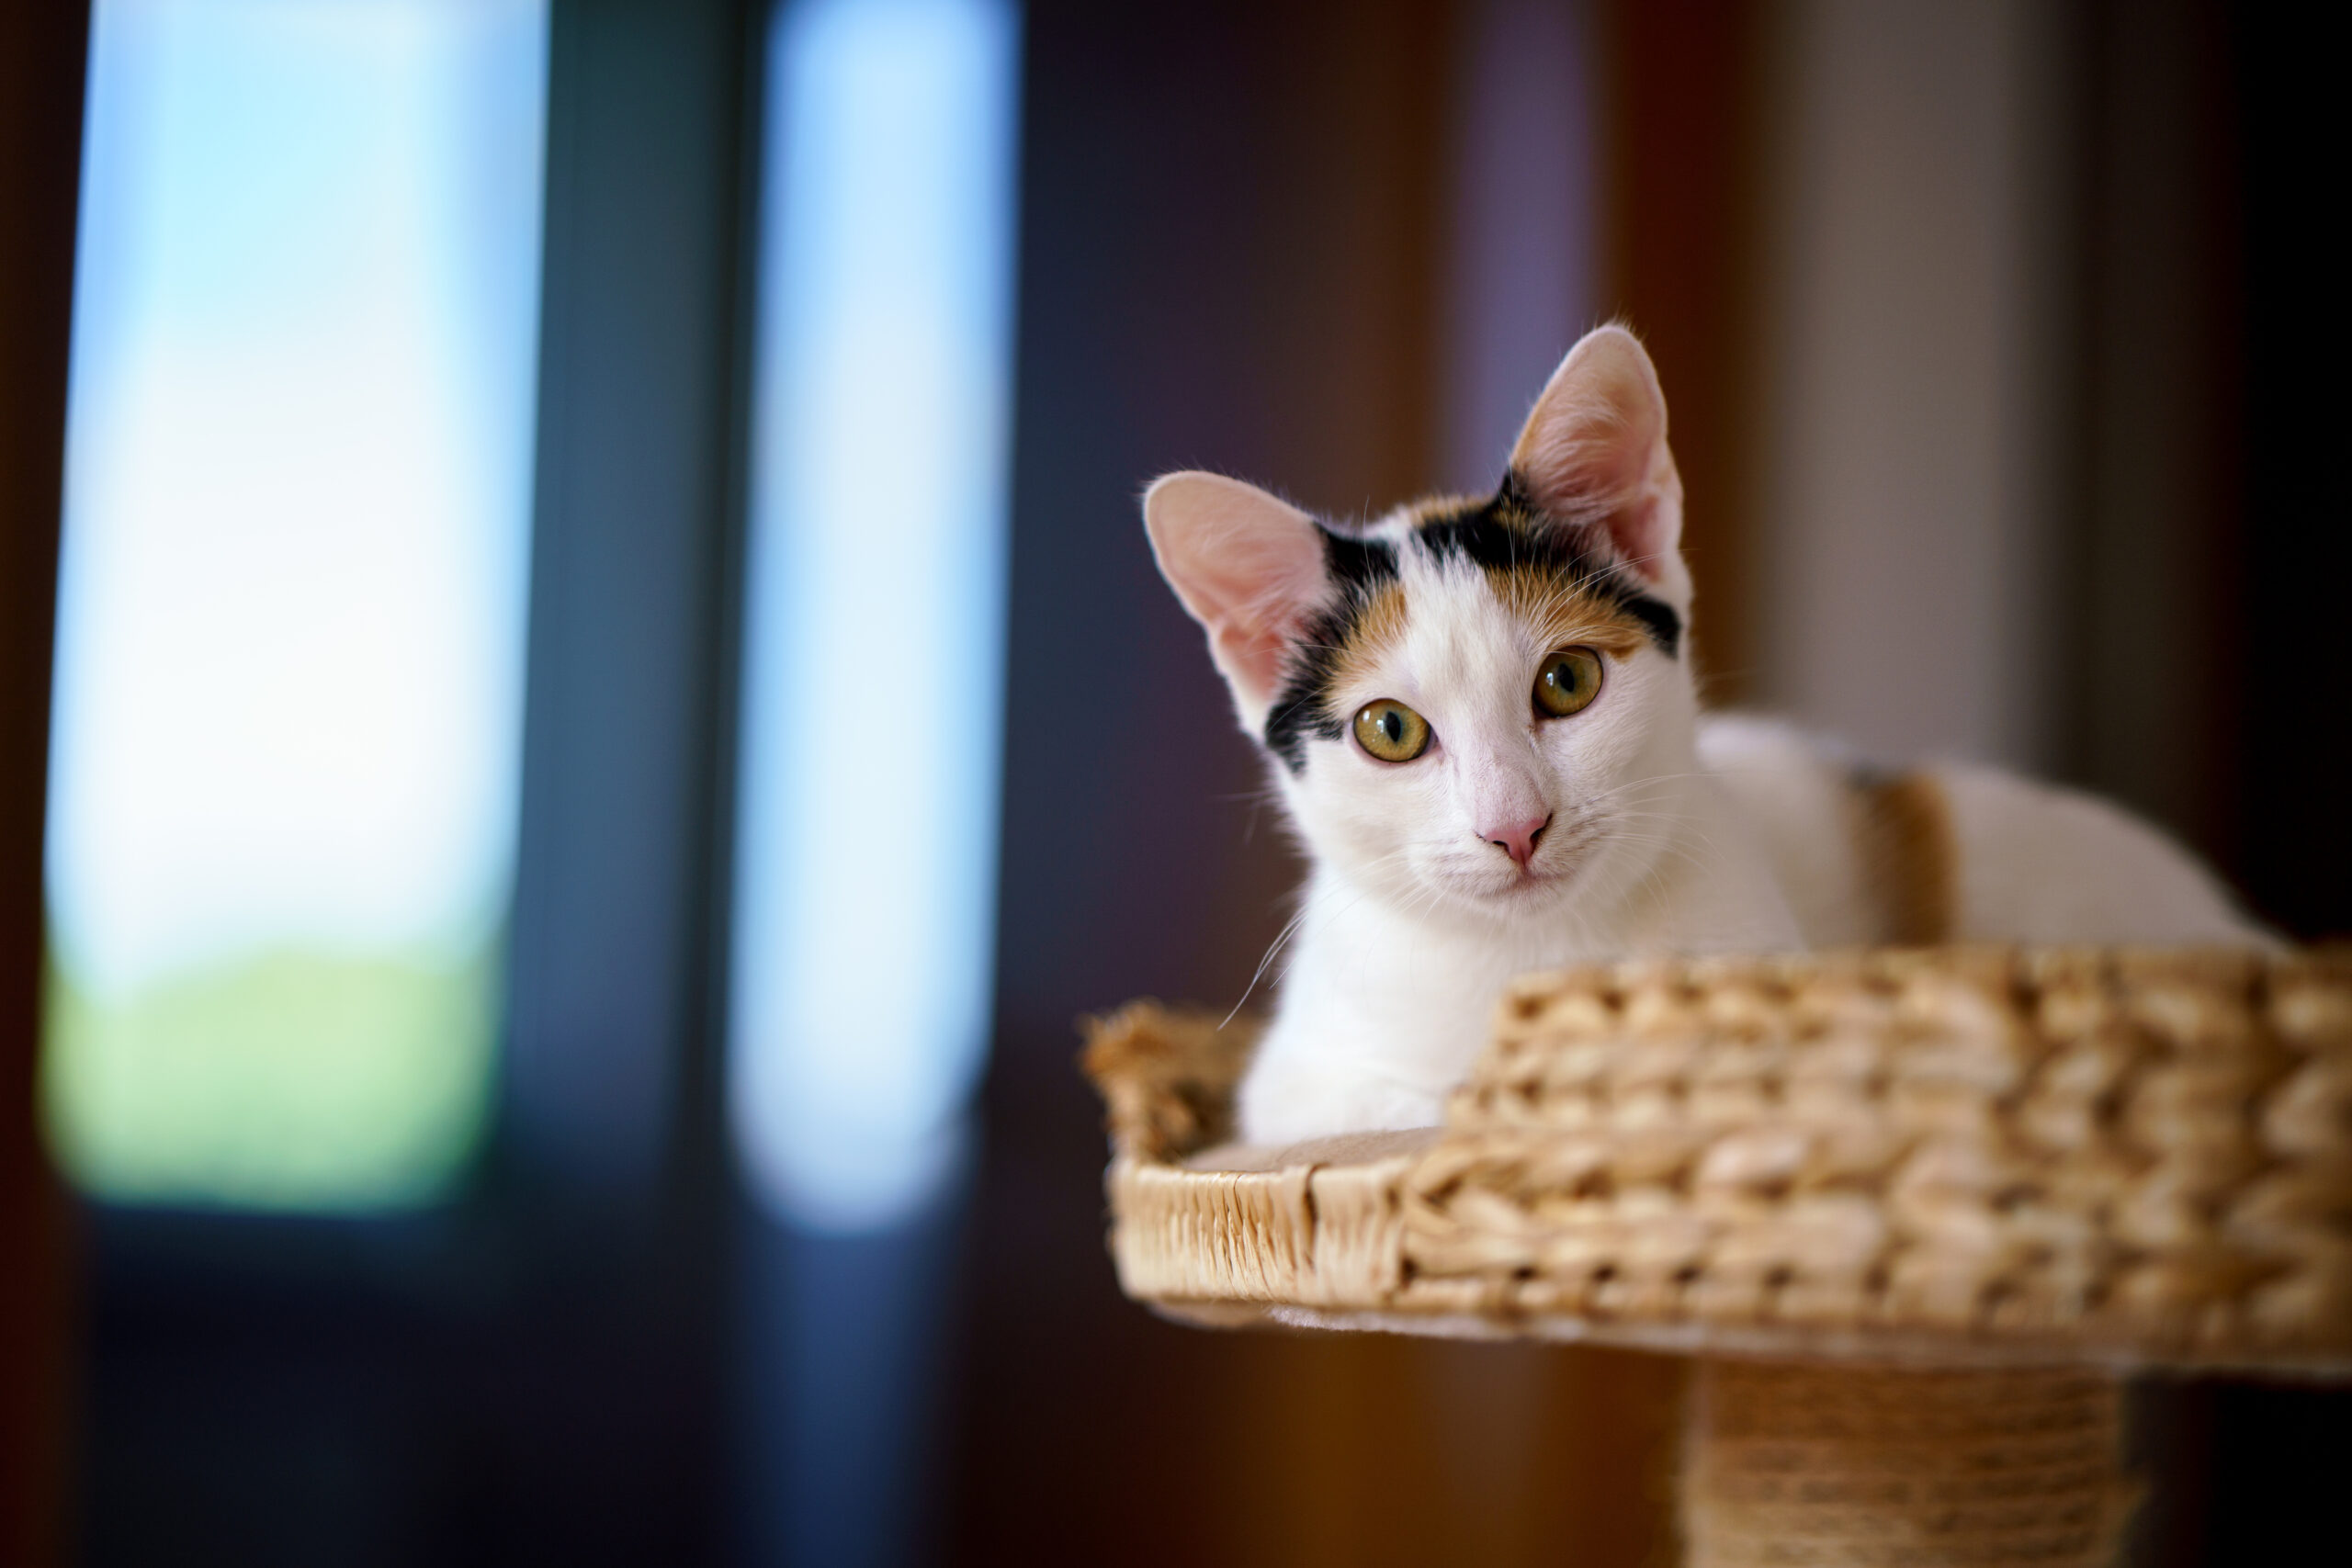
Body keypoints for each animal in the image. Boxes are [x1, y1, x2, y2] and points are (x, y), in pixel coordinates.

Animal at [1148, 324, 2267, 1146]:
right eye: (1389, 730)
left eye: (1566, 681)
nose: (1515, 828)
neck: (1535, 961)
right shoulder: (1291, 1087)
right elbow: (1394, 1101)